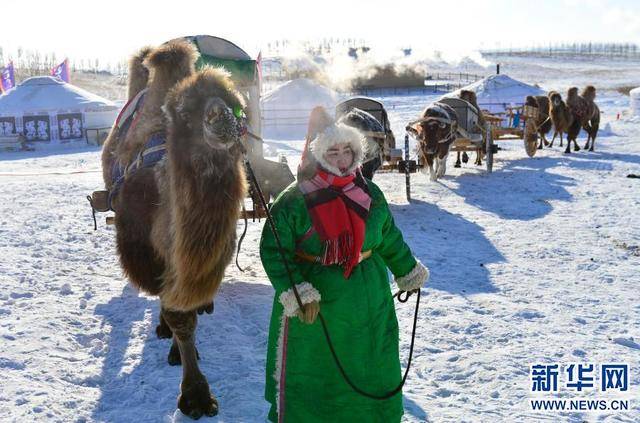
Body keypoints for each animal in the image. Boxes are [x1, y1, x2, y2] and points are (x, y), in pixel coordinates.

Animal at [102, 41, 248, 420]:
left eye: (234, 104)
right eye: (187, 112)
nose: (220, 117)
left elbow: (187, 309)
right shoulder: (144, 250)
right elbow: (176, 313)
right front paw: (195, 395)